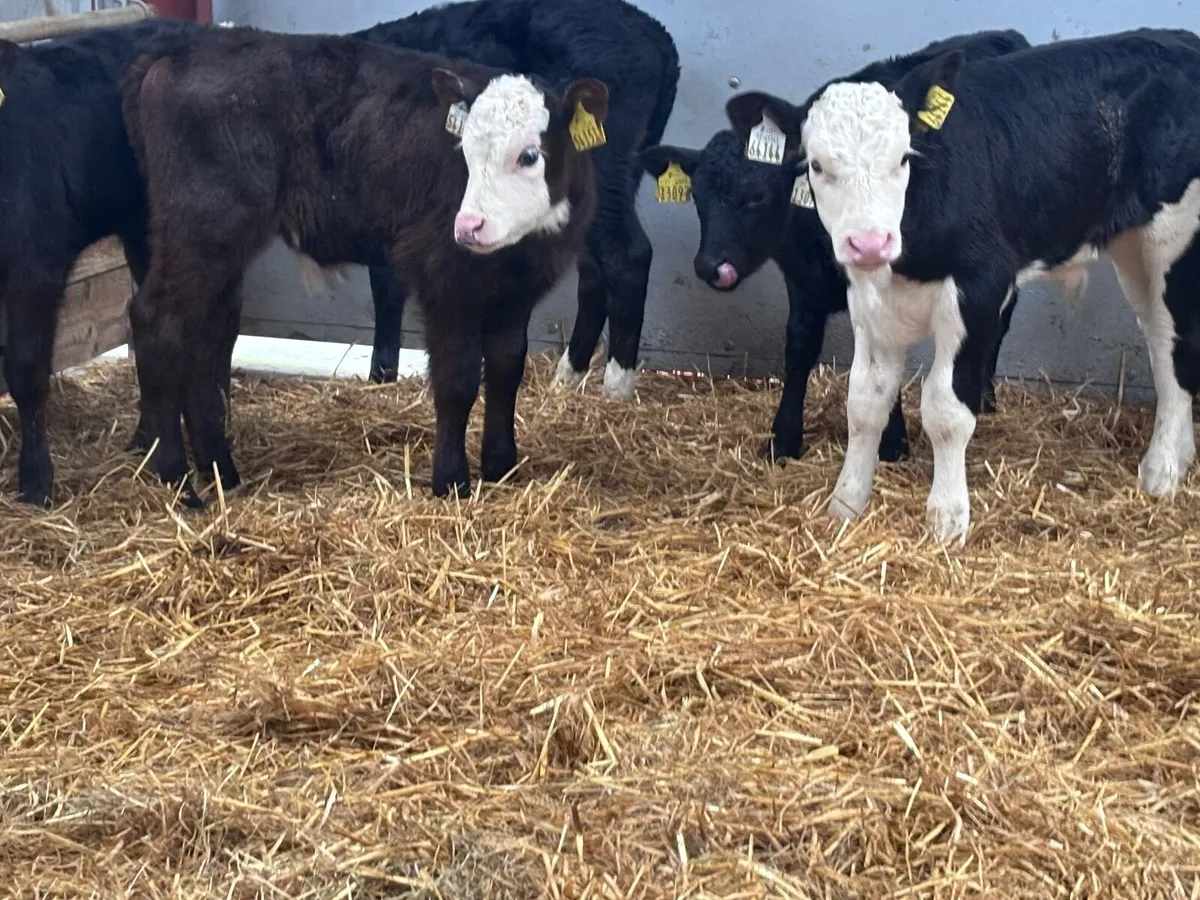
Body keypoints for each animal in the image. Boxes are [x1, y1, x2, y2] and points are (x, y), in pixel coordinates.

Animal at [121, 25, 607, 504]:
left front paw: (502, 467)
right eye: (464, 151)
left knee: (208, 334)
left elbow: (507, 370)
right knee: (155, 319)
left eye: (529, 155)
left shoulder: (517, 291)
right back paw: (177, 479)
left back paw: (221, 472)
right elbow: (459, 376)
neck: (519, 249)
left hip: (218, 246)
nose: (468, 226)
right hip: (202, 227)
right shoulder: (442, 277)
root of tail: (174, 53)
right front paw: (451, 481)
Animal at [352, 0, 679, 400]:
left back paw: (616, 387)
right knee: (593, 269)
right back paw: (567, 377)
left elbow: (386, 289)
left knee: (627, 255)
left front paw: (381, 378)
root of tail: (656, 37)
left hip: (605, 163)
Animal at [639, 30, 1029, 464]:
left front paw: (892, 441)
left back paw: (985, 395)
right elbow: (799, 347)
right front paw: (784, 436)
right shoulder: (801, 285)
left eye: (757, 197)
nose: (710, 266)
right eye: (697, 196)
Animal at [725, 28, 1200, 544]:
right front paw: (846, 504)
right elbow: (865, 401)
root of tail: (1178, 38)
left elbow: (946, 409)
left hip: (1173, 237)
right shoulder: (869, 300)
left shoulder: (980, 287)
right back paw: (1180, 456)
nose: (869, 242)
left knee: (1175, 341)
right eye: (814, 165)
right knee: (1159, 336)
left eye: (903, 158)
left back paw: (1161, 471)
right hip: (1133, 246)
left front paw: (947, 519)